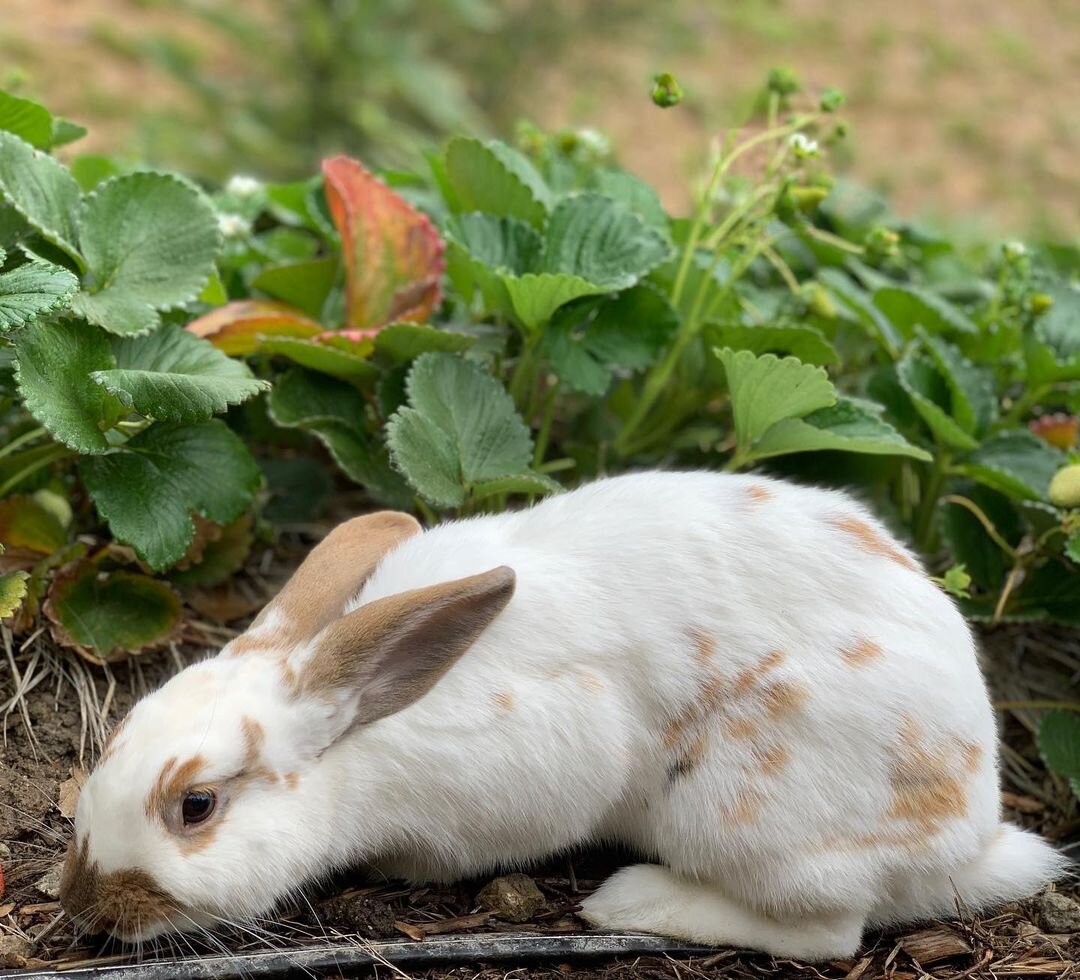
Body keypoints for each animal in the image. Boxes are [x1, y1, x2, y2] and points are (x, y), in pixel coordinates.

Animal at [63, 471, 1067, 963]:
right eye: (113, 746)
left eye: (196, 806)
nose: (82, 905)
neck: (366, 743)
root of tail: (971, 827)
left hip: (744, 810)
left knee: (827, 933)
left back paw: (630, 898)